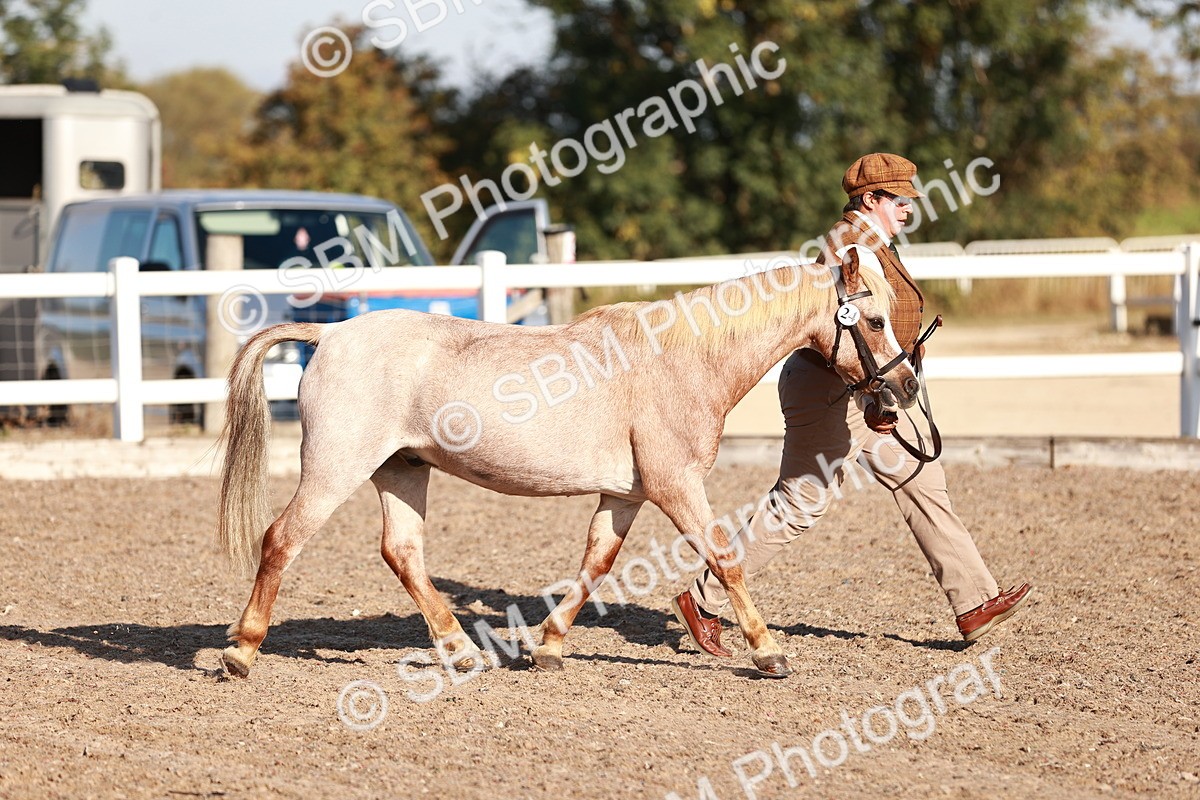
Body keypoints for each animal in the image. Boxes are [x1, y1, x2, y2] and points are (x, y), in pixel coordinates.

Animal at [216, 248, 919, 679]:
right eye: (873, 319)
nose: (904, 390)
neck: (681, 359)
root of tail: (329, 334)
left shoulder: (627, 494)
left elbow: (596, 563)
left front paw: (548, 646)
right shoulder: (676, 485)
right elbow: (725, 557)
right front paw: (769, 653)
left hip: (403, 469)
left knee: (402, 553)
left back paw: (461, 651)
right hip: (335, 469)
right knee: (281, 540)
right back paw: (242, 652)